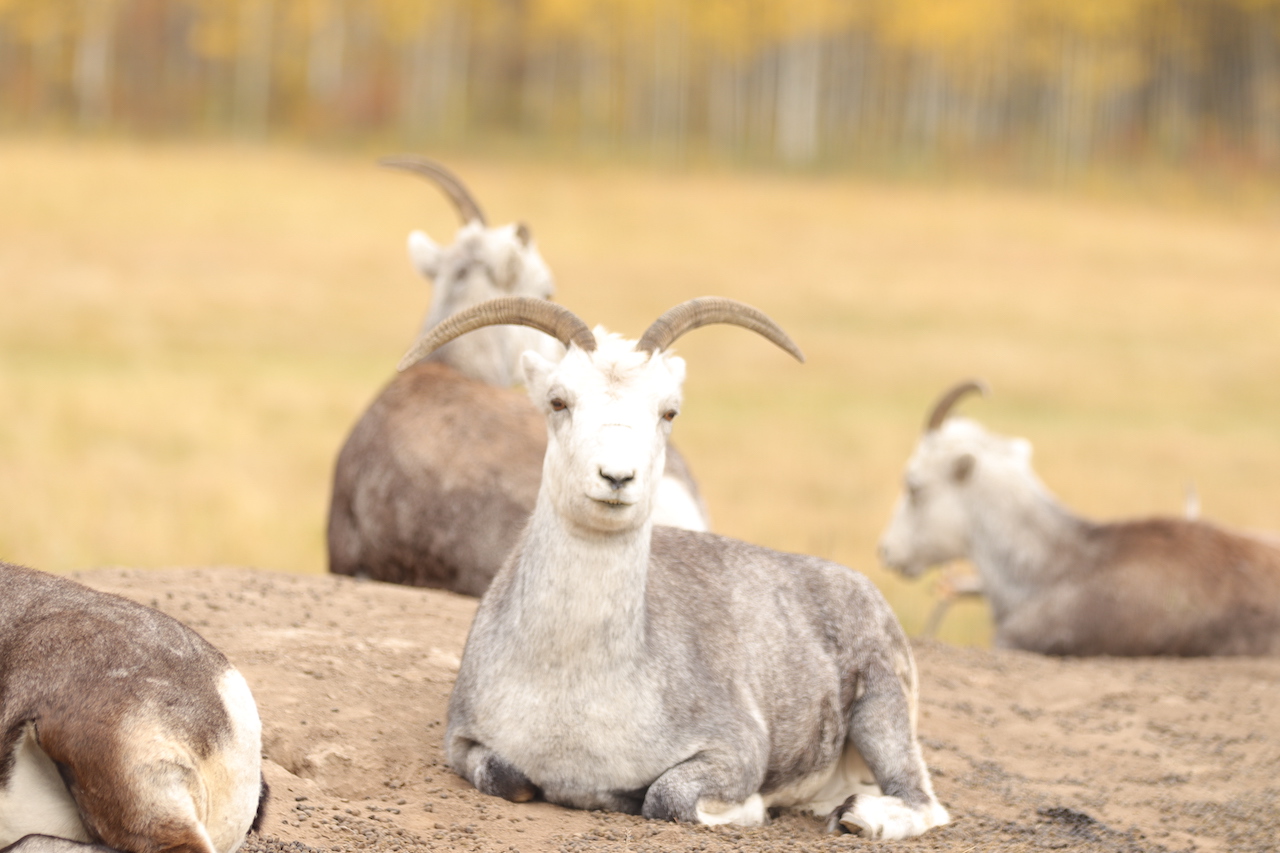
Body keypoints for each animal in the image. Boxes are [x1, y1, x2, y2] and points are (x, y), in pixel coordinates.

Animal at [409, 297, 952, 835]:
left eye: (668, 411)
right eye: (557, 401)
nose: (616, 477)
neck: (572, 682)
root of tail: (859, 587)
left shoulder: (733, 751)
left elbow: (666, 797)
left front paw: (752, 809)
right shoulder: (465, 745)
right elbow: (510, 780)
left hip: (881, 705)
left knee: (925, 803)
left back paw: (856, 817)